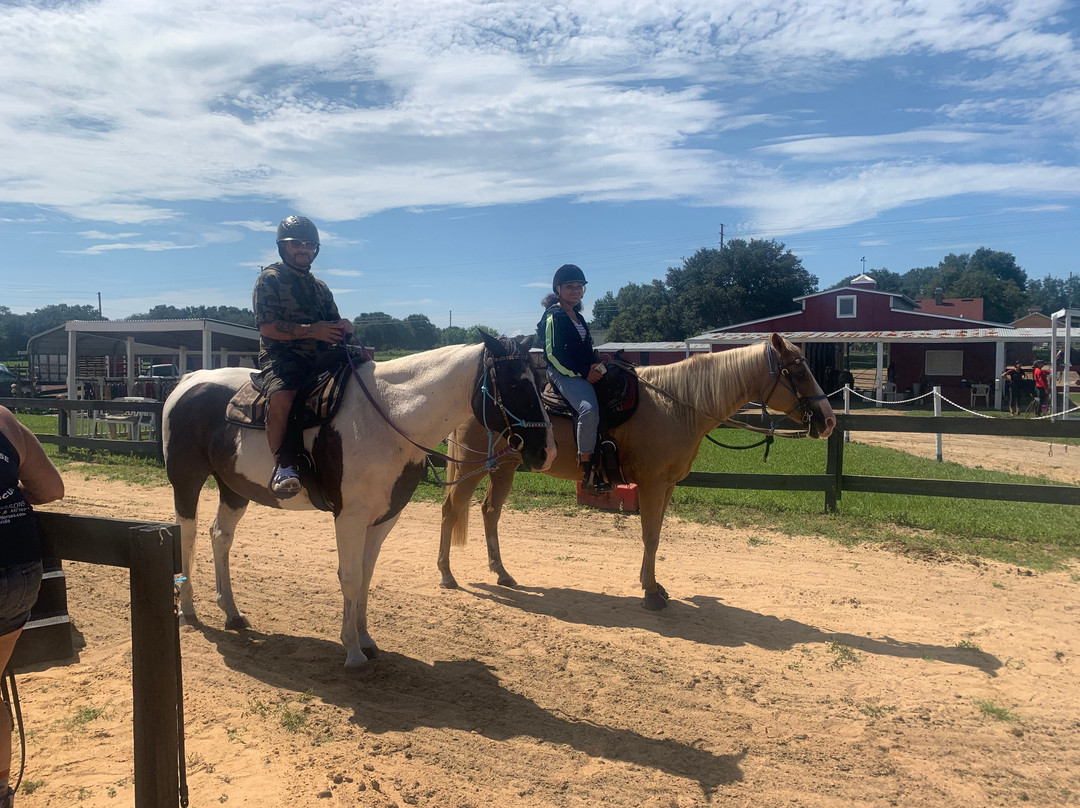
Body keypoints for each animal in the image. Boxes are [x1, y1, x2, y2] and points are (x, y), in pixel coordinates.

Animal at [164, 330, 552, 665]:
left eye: (540, 381)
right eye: (514, 383)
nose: (546, 452)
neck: (388, 419)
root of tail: (188, 381)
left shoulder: (384, 517)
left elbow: (366, 575)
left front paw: (365, 639)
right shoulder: (349, 516)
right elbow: (349, 576)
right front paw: (351, 650)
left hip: (233, 488)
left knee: (220, 536)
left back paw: (232, 612)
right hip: (186, 481)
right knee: (187, 536)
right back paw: (188, 611)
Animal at [436, 332, 833, 604]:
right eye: (798, 371)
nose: (828, 421)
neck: (677, 404)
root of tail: (476, 390)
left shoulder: (667, 485)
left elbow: (655, 534)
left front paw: (651, 584)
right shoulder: (652, 484)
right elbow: (650, 535)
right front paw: (652, 594)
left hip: (504, 467)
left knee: (489, 512)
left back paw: (502, 574)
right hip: (473, 465)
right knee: (451, 509)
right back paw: (446, 574)